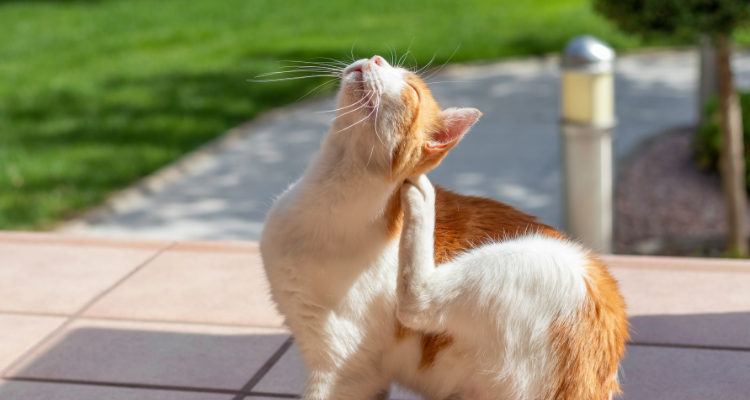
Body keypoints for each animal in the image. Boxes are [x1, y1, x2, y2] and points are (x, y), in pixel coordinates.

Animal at [262, 54, 632, 400]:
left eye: (411, 89)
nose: (376, 58)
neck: (328, 193)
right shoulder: (364, 378)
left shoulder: (343, 369)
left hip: (523, 261)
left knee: (415, 303)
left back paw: (423, 198)